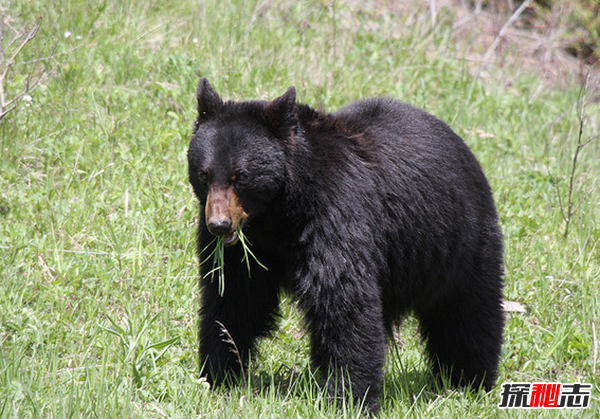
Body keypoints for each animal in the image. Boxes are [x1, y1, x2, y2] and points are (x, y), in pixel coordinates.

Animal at [189, 78, 506, 410]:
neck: (279, 216)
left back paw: (469, 378)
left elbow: (343, 301)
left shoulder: (336, 216)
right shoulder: (248, 248)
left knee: (467, 312)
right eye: (204, 175)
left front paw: (347, 397)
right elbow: (233, 298)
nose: (219, 225)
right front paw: (218, 375)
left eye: (240, 176)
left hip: (459, 241)